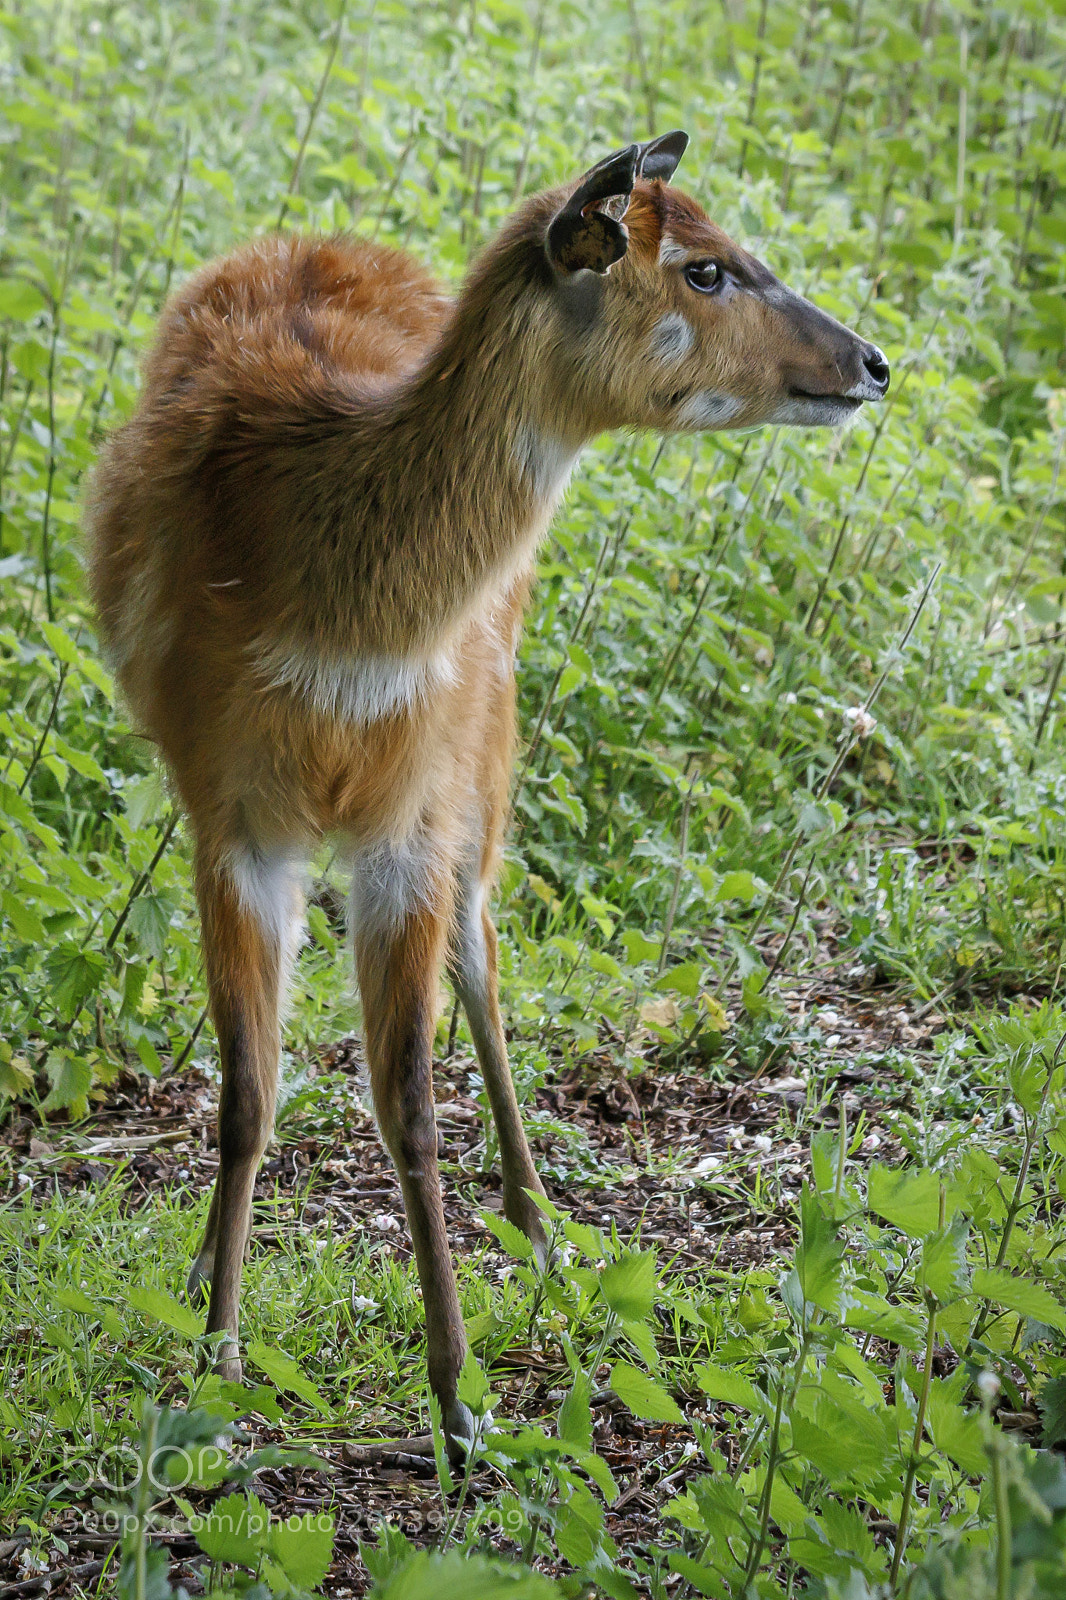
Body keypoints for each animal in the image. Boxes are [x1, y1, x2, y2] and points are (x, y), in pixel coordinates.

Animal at [88, 131, 889, 1454]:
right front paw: (215, 1349)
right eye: (706, 269)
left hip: (491, 736)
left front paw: (461, 1402)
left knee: (483, 943)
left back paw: (540, 1221)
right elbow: (248, 1090)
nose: (870, 361)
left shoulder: (409, 814)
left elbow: (408, 1094)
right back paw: (218, 1268)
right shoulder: (231, 812)